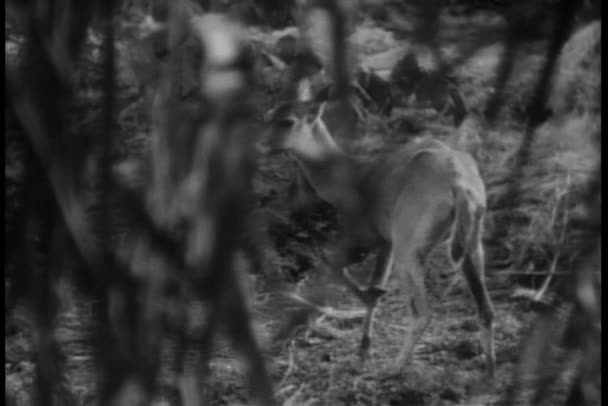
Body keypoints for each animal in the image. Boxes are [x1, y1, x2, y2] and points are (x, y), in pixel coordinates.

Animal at [258, 87, 496, 376]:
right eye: (268, 115)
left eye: (288, 121)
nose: (258, 144)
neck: (350, 179)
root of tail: (460, 187)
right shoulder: (386, 241)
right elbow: (374, 280)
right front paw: (364, 347)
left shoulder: (366, 231)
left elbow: (331, 263)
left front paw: (366, 320)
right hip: (470, 241)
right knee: (486, 309)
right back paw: (488, 368)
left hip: (409, 241)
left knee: (422, 313)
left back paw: (394, 367)